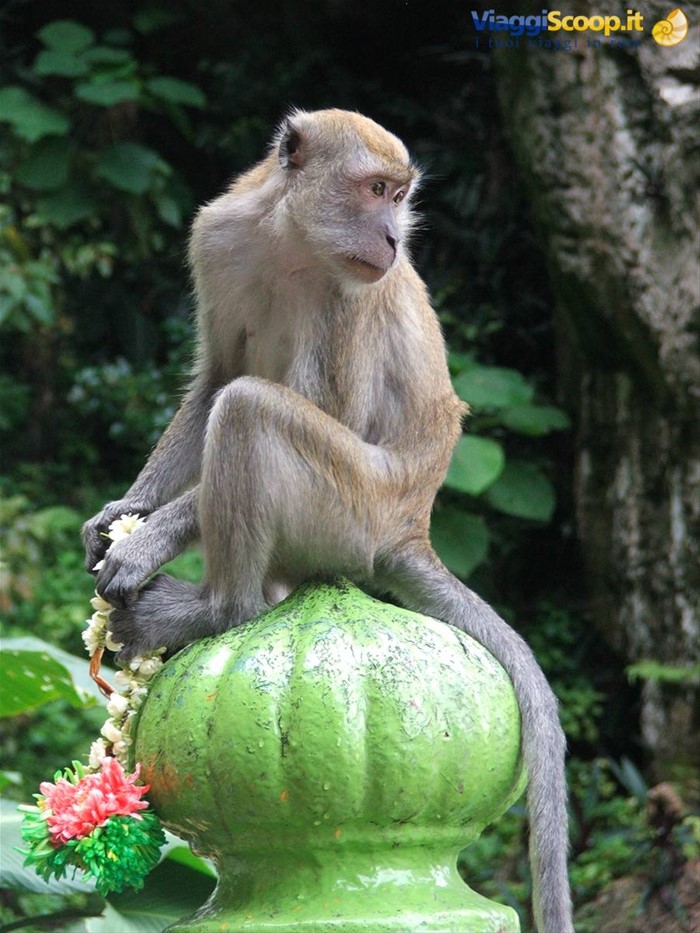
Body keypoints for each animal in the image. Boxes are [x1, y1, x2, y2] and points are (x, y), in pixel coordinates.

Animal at [82, 109, 572, 933]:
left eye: (399, 196)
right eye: (376, 191)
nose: (394, 240)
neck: (291, 241)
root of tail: (410, 528)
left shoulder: (352, 300)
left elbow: (282, 403)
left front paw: (147, 540)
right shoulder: (216, 237)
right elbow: (214, 376)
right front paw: (126, 510)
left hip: (351, 508)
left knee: (251, 411)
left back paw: (218, 608)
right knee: (238, 398)